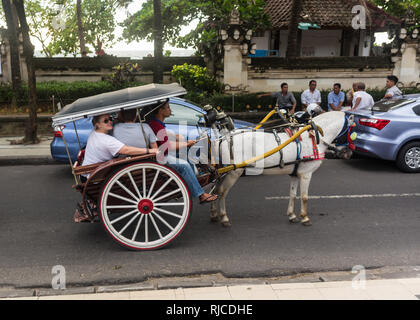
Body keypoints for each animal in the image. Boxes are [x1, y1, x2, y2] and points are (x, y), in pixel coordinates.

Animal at [208, 110, 350, 228]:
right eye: (351, 129)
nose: (348, 153)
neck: (313, 137)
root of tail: (221, 139)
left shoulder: (295, 173)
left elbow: (293, 194)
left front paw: (292, 215)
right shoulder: (306, 174)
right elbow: (304, 197)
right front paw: (305, 217)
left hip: (223, 173)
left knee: (215, 190)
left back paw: (214, 214)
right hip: (234, 172)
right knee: (222, 192)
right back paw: (224, 217)